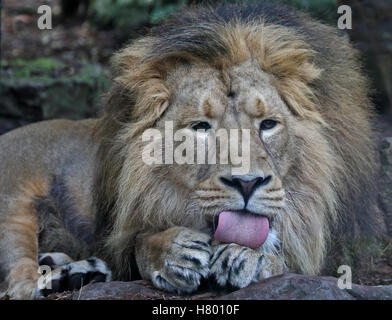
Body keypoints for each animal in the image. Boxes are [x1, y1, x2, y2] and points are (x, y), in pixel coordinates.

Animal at [0, 2, 386, 298]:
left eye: (268, 124)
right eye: (201, 127)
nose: (247, 183)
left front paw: (250, 256)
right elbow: (141, 242)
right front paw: (174, 254)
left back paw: (77, 272)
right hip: (12, 203)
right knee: (18, 281)